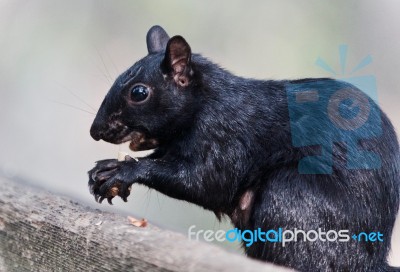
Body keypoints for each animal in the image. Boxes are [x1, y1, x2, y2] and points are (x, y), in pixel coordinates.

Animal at [89, 24, 400, 270]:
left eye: (139, 92)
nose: (95, 131)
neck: (206, 102)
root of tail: (367, 262)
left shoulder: (226, 137)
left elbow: (205, 182)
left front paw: (124, 171)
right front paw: (105, 168)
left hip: (291, 196)